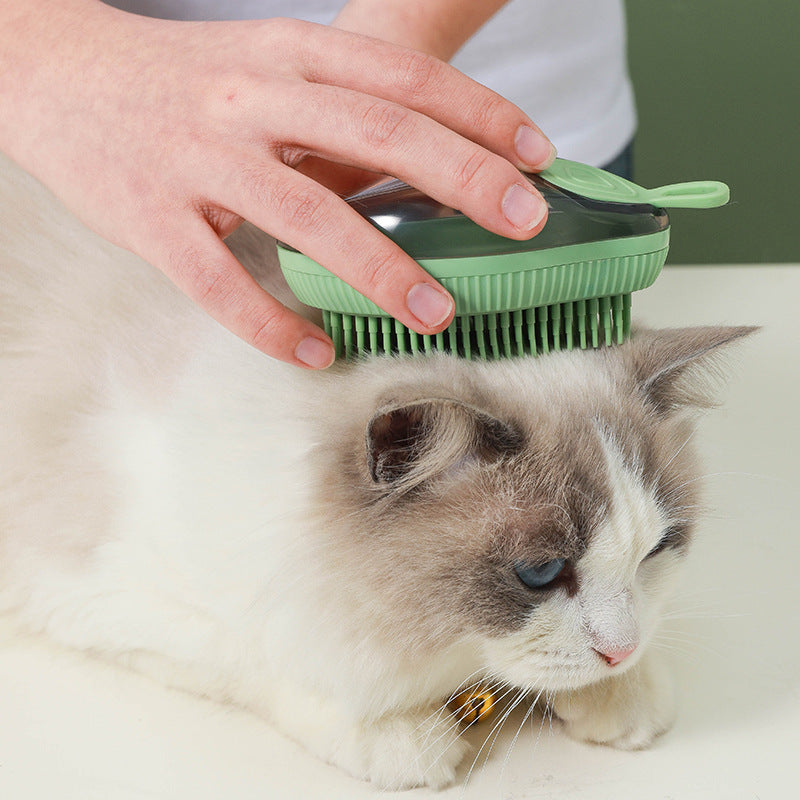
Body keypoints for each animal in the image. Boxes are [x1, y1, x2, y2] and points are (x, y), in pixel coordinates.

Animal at [0, 153, 752, 792]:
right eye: (540, 574)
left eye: (658, 549)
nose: (620, 653)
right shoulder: (101, 594)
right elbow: (268, 662)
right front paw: (408, 739)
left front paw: (621, 693)